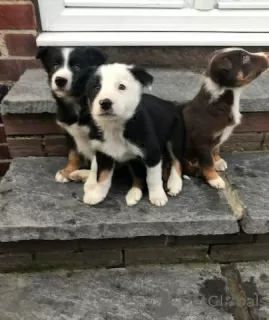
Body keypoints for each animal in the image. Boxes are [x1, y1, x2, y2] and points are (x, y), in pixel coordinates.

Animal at [35, 46, 107, 184]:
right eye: (55, 66)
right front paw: (67, 171)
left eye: (77, 67)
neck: (76, 103)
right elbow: (72, 154)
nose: (60, 80)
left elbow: (97, 163)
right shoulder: (70, 132)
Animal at [82, 63, 185, 206]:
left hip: (174, 138)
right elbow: (102, 176)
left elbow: (153, 178)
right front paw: (97, 194)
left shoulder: (152, 153)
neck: (115, 126)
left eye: (121, 87)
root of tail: (169, 103)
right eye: (96, 87)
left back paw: (174, 184)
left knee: (176, 160)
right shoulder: (104, 153)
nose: (105, 103)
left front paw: (158, 196)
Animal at [182, 47, 268, 188]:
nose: (267, 54)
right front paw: (215, 179)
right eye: (244, 58)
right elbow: (207, 162)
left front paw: (218, 161)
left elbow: (216, 149)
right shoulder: (202, 140)